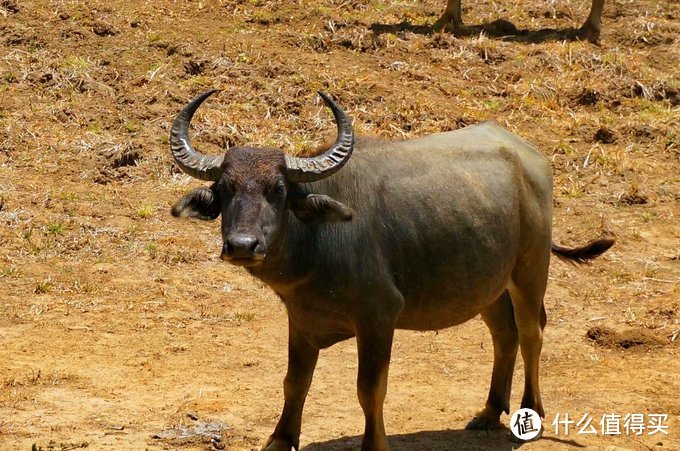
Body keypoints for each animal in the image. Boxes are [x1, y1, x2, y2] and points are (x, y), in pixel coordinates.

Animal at [169, 91, 612, 451]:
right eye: (225, 189)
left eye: (277, 190)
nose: (242, 246)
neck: (319, 244)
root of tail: (529, 156)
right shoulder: (302, 319)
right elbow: (294, 382)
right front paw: (280, 438)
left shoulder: (379, 317)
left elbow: (370, 389)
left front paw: (374, 443)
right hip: (488, 283)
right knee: (506, 334)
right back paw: (489, 412)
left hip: (530, 269)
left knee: (533, 334)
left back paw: (531, 413)